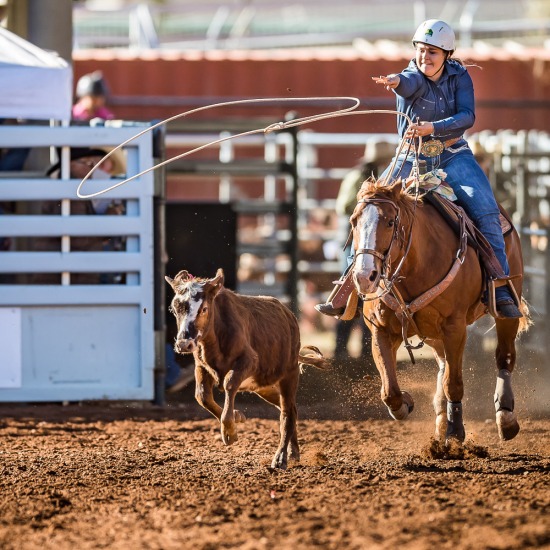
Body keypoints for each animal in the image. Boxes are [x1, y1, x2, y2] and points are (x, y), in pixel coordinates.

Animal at [165, 268, 328, 470]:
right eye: (174, 309)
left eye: (203, 309)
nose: (183, 344)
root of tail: (289, 316)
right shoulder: (201, 366)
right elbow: (202, 396)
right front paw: (237, 416)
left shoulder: (249, 361)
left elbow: (228, 384)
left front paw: (229, 431)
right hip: (264, 386)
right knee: (290, 409)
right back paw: (293, 452)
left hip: (289, 375)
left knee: (287, 413)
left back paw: (280, 458)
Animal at [352, 179, 532, 446]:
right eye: (354, 221)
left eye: (390, 222)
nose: (365, 277)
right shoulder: (380, 330)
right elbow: (389, 391)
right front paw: (406, 403)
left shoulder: (454, 328)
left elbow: (453, 382)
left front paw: (455, 432)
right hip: (432, 334)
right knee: (442, 364)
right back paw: (440, 418)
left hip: (508, 307)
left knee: (504, 356)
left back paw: (505, 417)